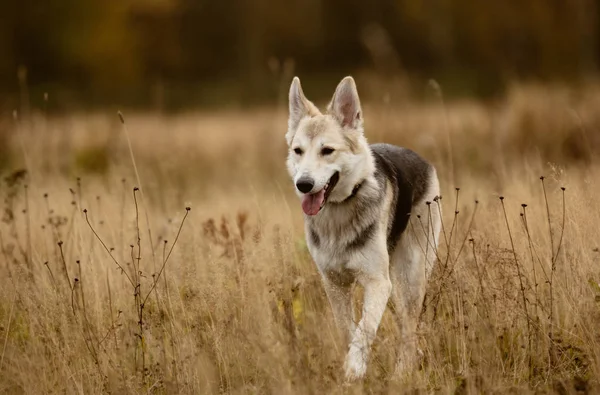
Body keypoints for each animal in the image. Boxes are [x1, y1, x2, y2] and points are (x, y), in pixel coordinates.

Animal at [284, 76, 442, 382]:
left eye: (327, 151)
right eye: (298, 151)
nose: (304, 184)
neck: (339, 211)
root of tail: (420, 158)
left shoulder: (376, 282)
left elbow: (364, 329)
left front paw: (354, 369)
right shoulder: (335, 284)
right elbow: (348, 329)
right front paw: (353, 369)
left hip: (409, 278)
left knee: (409, 328)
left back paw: (402, 373)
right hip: (394, 286)